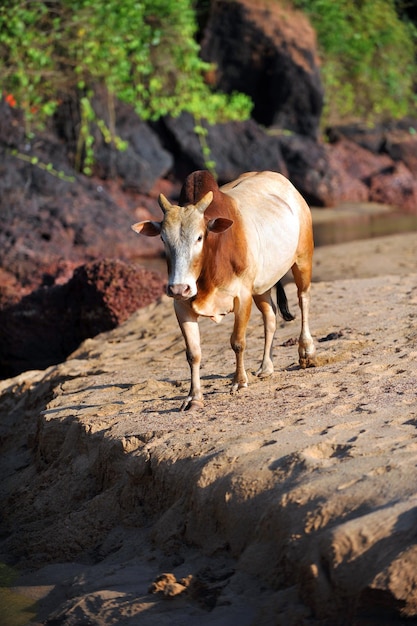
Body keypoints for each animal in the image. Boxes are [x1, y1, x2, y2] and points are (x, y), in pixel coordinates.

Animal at [132, 169, 316, 410]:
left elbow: (237, 342)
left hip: (303, 259)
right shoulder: (181, 306)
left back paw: (307, 351)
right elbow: (193, 353)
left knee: (303, 299)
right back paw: (266, 367)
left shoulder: (242, 297)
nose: (179, 287)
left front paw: (239, 382)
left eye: (199, 237)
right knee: (270, 317)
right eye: (163, 238)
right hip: (262, 287)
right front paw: (194, 397)